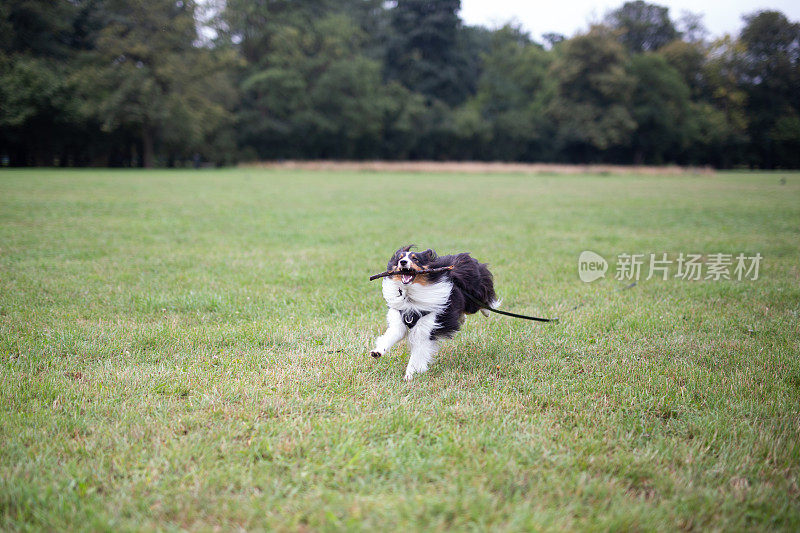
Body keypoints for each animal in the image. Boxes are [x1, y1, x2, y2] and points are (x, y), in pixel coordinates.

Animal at [370, 245, 496, 378]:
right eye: (400, 258)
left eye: (415, 259)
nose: (403, 262)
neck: (410, 295)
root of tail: (464, 257)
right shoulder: (399, 321)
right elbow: (390, 336)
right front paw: (377, 352)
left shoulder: (425, 328)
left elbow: (417, 355)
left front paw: (409, 375)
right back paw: (462, 319)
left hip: (474, 297)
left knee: (482, 301)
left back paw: (487, 311)